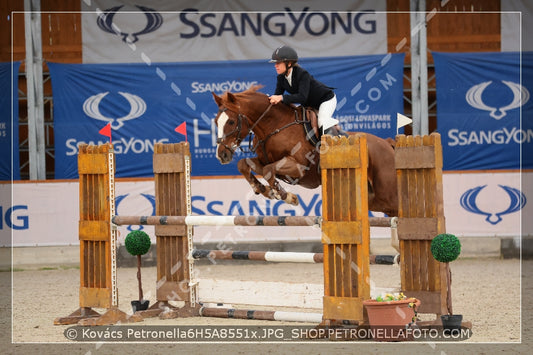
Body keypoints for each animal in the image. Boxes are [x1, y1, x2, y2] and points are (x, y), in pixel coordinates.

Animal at [212, 85, 400, 217]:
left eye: (231, 122)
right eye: (215, 121)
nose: (221, 155)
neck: (274, 126)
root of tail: (388, 144)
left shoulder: (299, 167)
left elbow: (268, 170)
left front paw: (287, 196)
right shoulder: (264, 160)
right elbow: (245, 165)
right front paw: (264, 190)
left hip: (387, 195)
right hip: (373, 198)